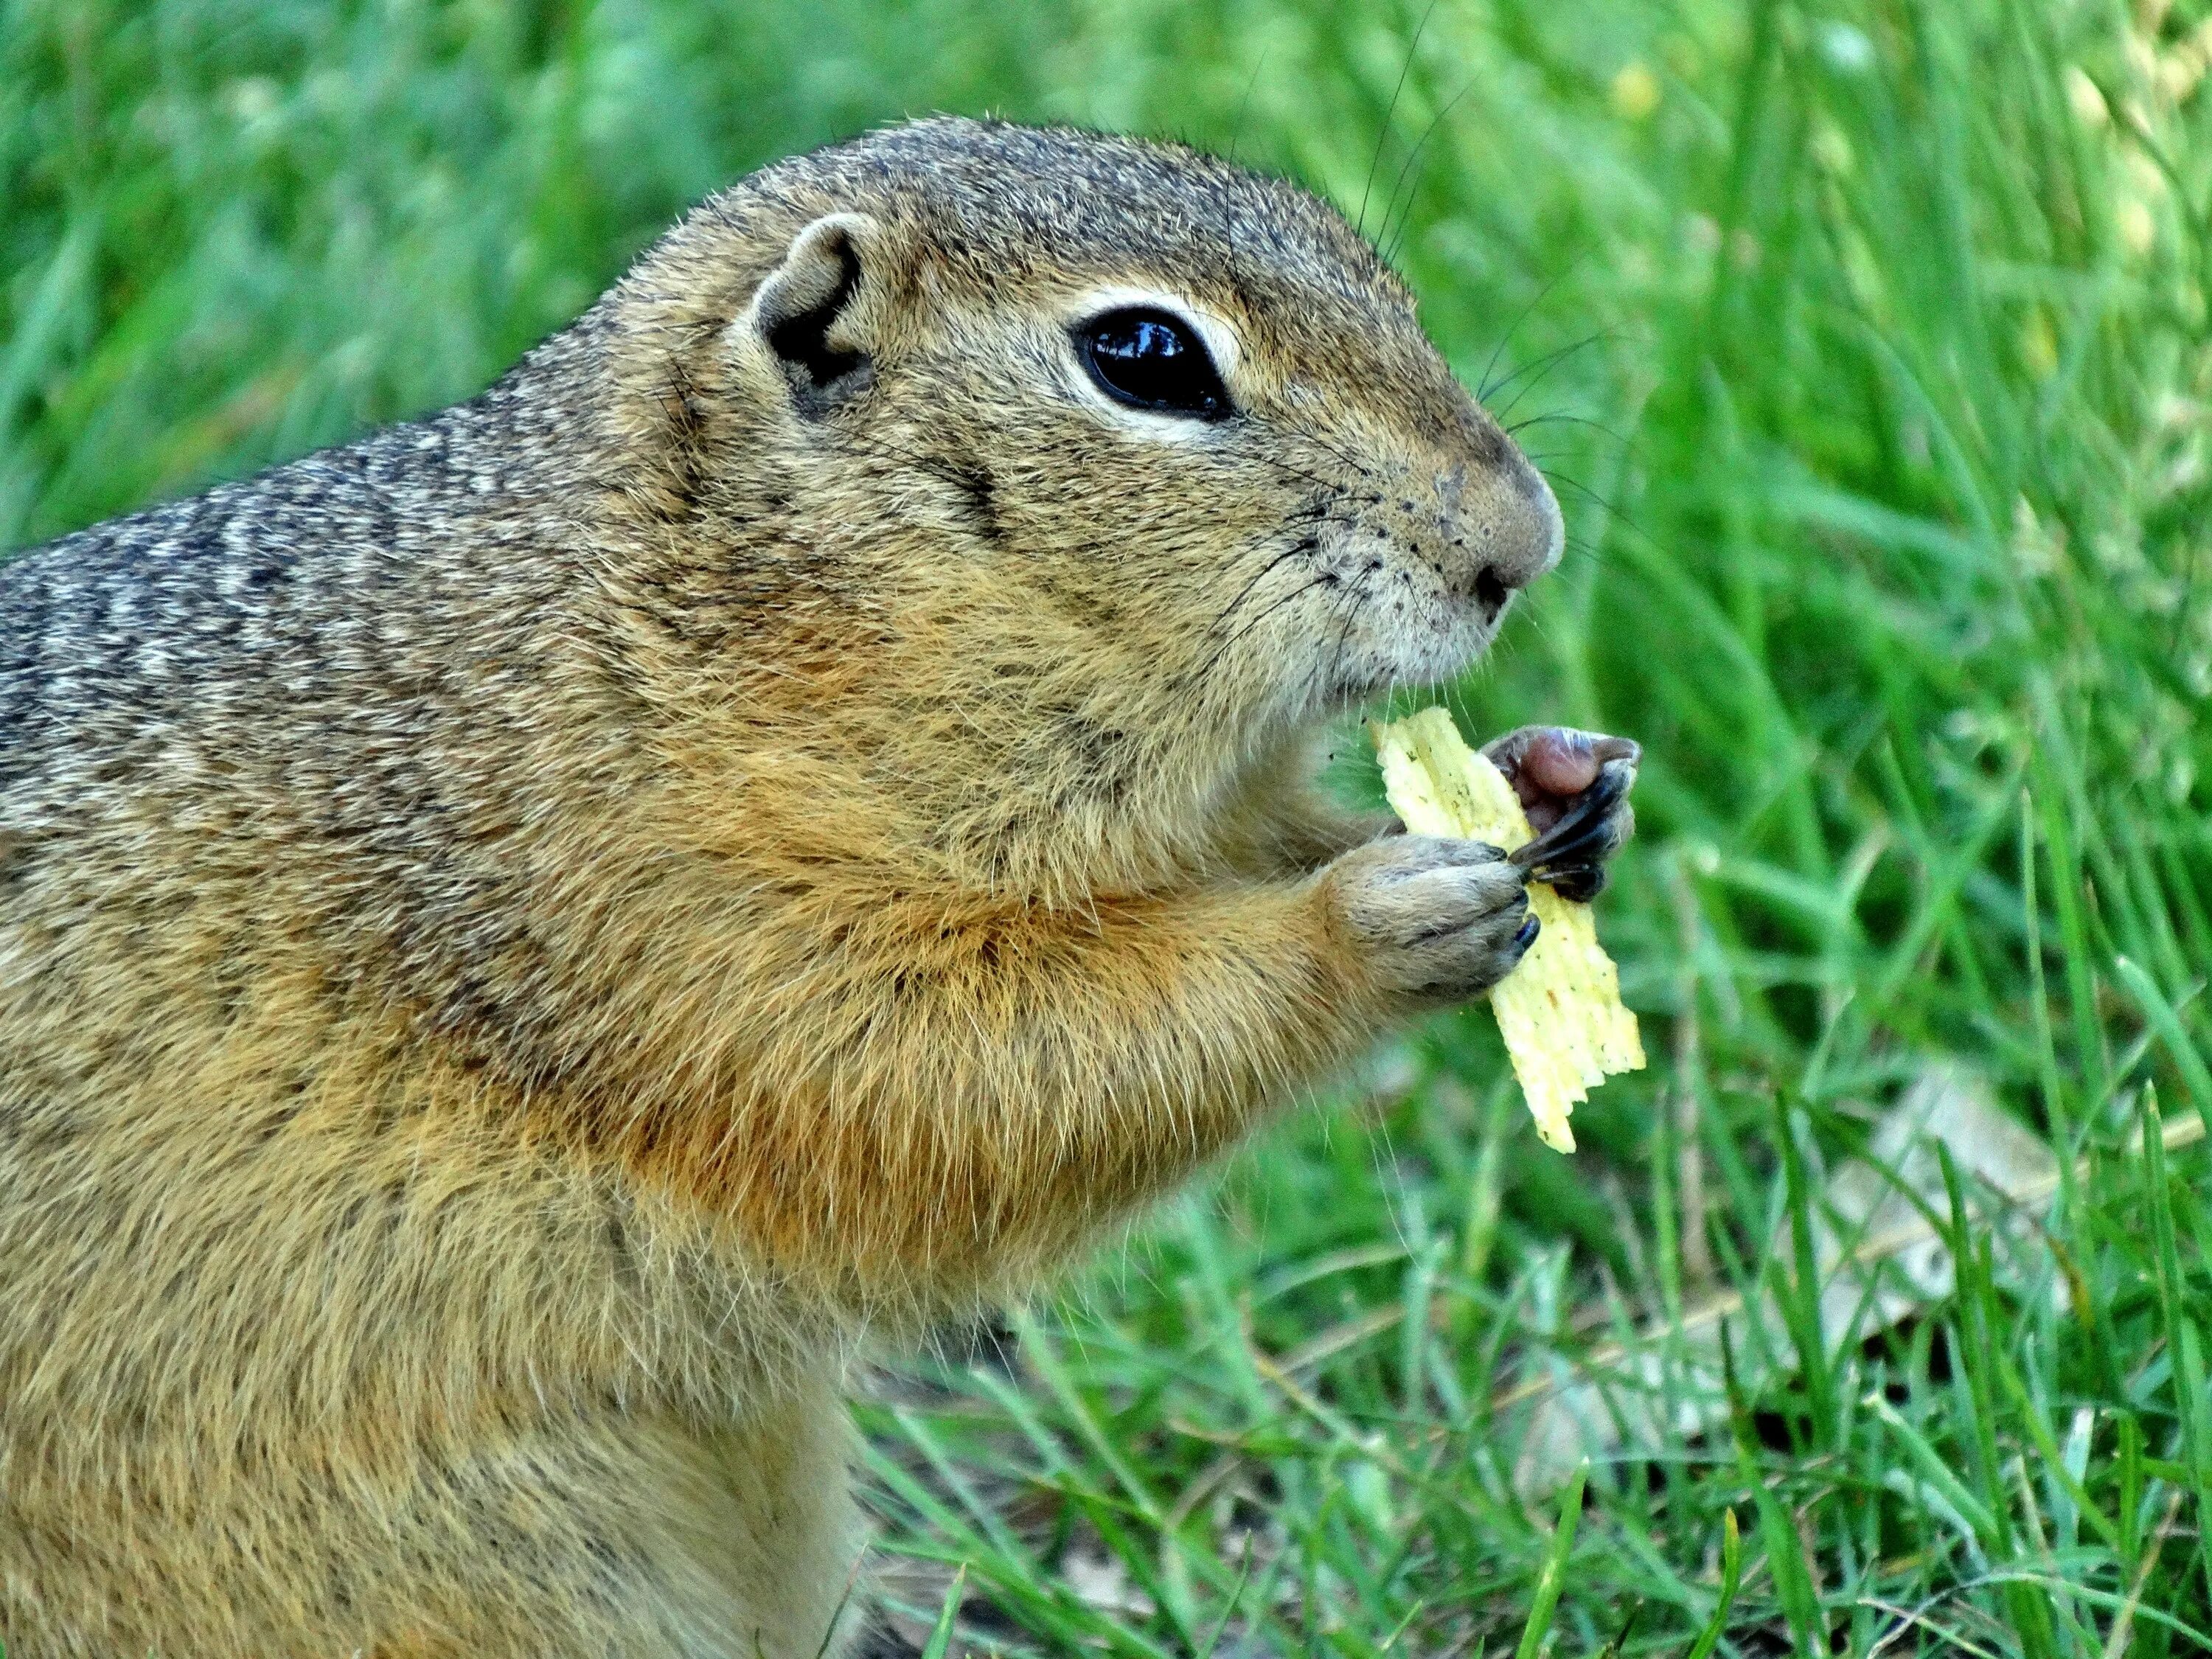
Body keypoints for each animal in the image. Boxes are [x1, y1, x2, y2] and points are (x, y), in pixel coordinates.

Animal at [0, 119, 1628, 1659]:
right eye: (1147, 358)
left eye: (1351, 252)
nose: (1529, 540)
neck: (676, 631)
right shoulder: (660, 932)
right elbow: (960, 1080)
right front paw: (1368, 923)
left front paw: (1549, 781)